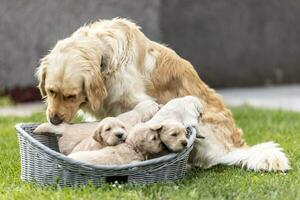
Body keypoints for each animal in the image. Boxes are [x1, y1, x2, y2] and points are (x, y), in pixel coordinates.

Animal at [36, 17, 290, 172]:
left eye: (71, 96)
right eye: (51, 91)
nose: (54, 120)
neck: (106, 58)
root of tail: (234, 147)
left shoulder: (140, 104)